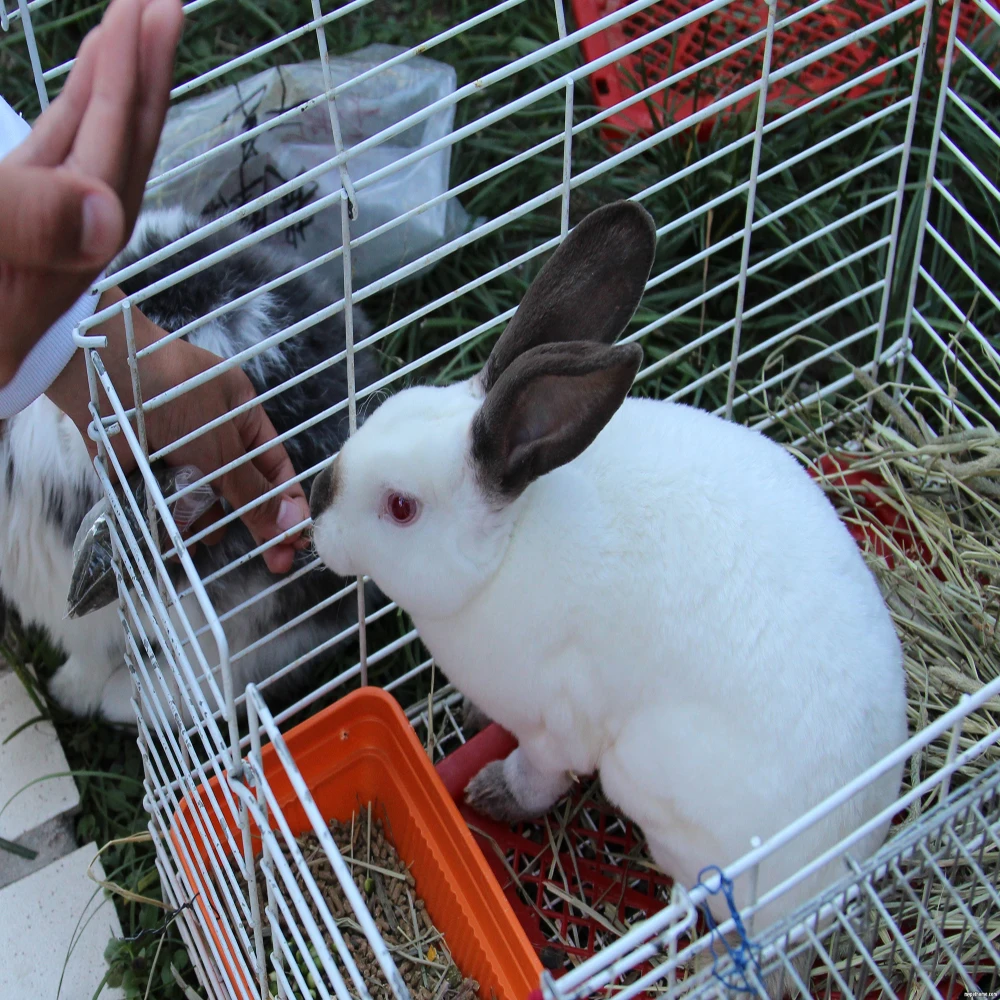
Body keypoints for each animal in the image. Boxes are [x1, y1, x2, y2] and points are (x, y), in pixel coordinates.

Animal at [309, 200, 908, 990]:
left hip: (652, 782)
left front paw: (492, 794)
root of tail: (849, 856)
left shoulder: (557, 722)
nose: (314, 505)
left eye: (401, 508)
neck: (506, 548)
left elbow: (539, 774)